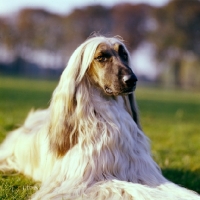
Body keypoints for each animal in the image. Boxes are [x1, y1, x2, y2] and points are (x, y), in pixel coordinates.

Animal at [0, 35, 199, 199]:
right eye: (101, 57)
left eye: (124, 54)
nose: (132, 80)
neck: (110, 117)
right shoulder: (82, 182)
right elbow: (131, 189)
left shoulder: (143, 172)